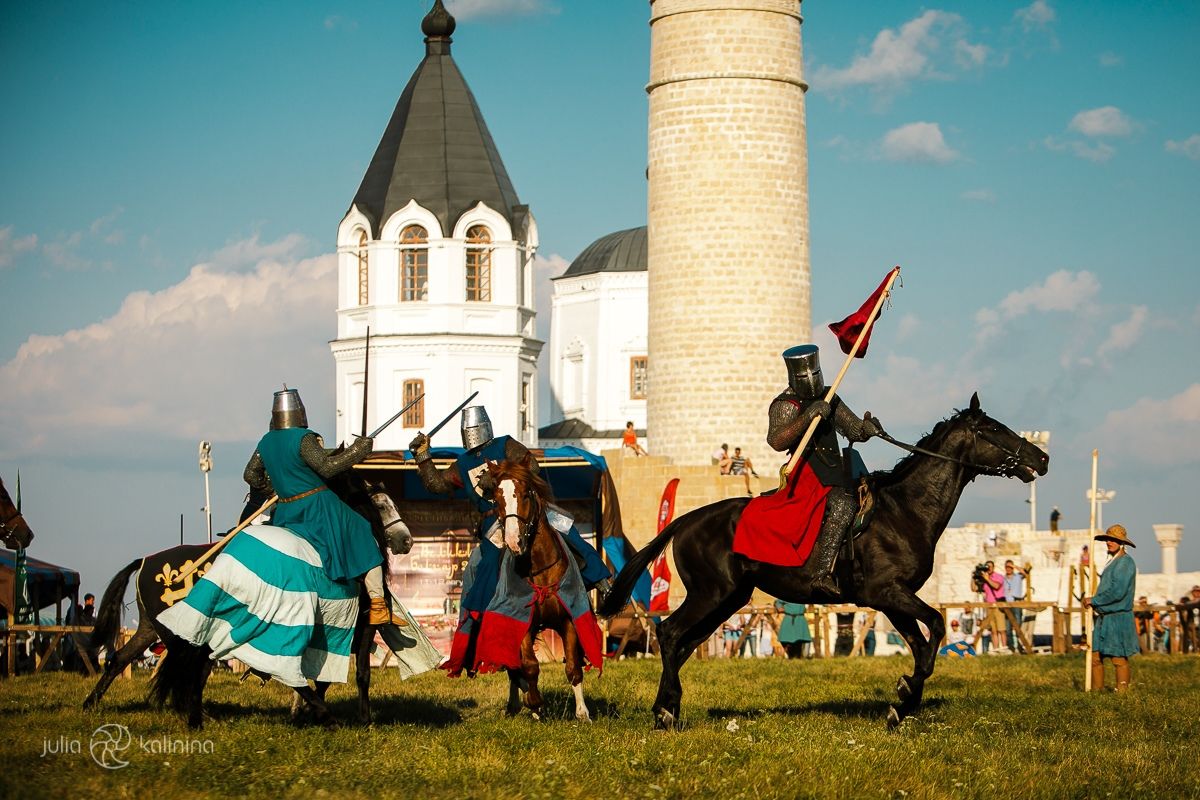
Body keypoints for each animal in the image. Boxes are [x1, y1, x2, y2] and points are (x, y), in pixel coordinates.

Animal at [84, 472, 412, 729]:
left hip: (152, 628)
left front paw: (342, 716)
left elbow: (348, 674)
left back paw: (93, 703)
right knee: (187, 669)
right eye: (380, 505)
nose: (405, 540)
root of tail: (145, 561)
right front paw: (316, 713)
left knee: (122, 660)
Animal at [487, 455, 600, 724]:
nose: (513, 541)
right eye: (497, 498)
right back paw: (516, 704)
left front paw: (582, 713)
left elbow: (573, 666)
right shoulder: (522, 622)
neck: (540, 568)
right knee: (514, 669)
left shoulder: (569, 620)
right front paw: (535, 704)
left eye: (525, 494)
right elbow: (529, 666)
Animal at [600, 393, 1051, 734]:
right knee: (670, 633)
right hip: (712, 594)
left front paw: (903, 700)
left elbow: (923, 646)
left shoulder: (891, 599)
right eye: (994, 429)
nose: (1042, 458)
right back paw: (665, 711)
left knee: (683, 643)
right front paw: (905, 696)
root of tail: (686, 520)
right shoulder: (889, 593)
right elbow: (937, 627)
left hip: (729, 600)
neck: (904, 510)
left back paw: (668, 710)